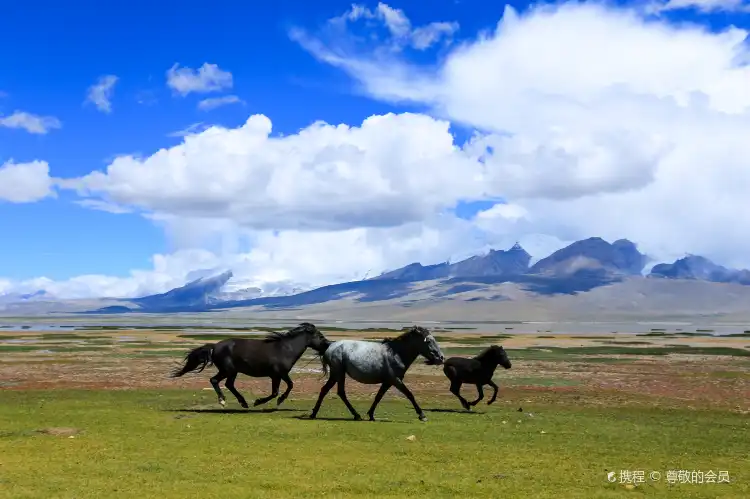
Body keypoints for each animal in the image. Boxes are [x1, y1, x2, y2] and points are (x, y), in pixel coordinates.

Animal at [176, 324, 332, 410]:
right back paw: (225, 401)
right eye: (319, 335)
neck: (286, 349)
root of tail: (215, 347)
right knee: (218, 381)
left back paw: (242, 402)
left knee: (225, 383)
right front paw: (262, 402)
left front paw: (265, 401)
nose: (328, 344)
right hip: (228, 370)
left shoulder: (277, 375)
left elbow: (280, 389)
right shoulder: (279, 374)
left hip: (230, 371)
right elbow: (284, 388)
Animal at [308, 326, 444, 424]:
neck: (397, 353)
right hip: (338, 373)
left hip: (338, 375)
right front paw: (422, 415)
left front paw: (371, 415)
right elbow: (409, 394)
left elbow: (378, 397)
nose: (441, 358)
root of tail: (330, 345)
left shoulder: (387, 382)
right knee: (334, 391)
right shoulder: (395, 380)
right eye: (429, 341)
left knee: (332, 391)